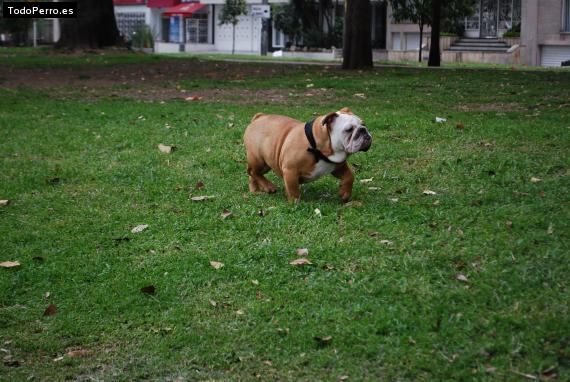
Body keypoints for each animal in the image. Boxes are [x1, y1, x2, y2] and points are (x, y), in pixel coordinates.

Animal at [242, 107, 370, 203]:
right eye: (349, 129)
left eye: (364, 124)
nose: (364, 131)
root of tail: (259, 117)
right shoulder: (290, 170)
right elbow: (293, 189)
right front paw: (295, 203)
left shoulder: (338, 167)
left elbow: (349, 176)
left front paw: (345, 193)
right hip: (258, 159)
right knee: (252, 171)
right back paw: (269, 186)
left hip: (266, 163)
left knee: (253, 174)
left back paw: (255, 191)